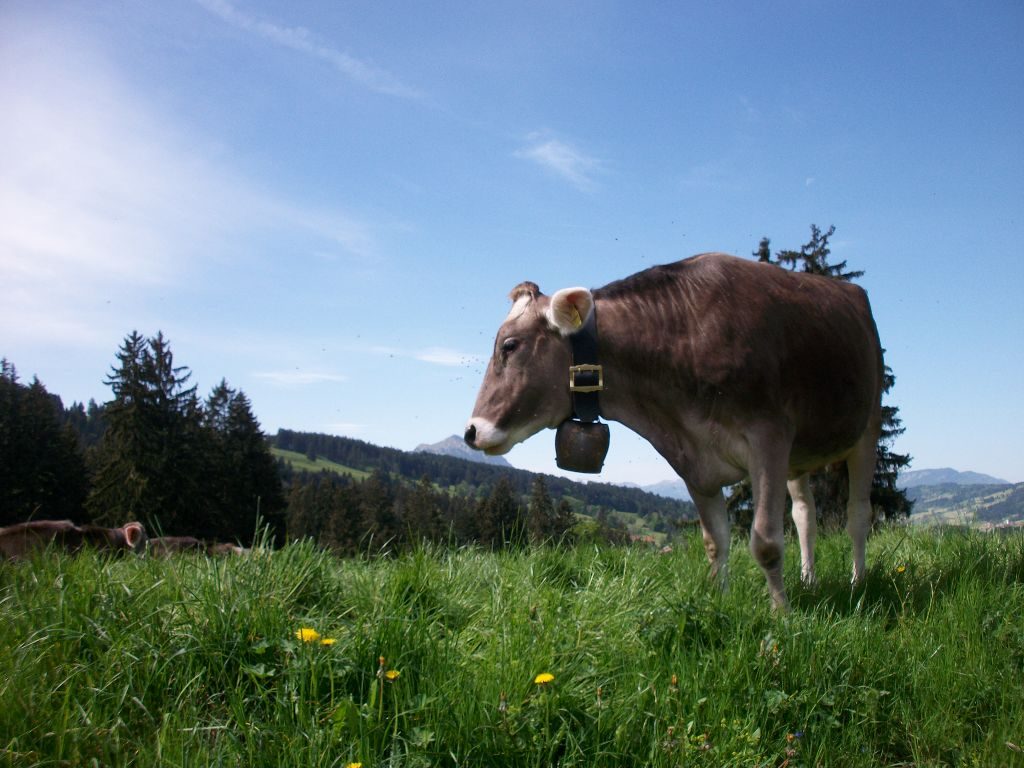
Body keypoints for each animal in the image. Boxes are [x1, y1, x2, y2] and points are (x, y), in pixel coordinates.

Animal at [468, 256, 884, 610]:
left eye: (509, 346)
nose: (472, 431)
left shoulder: (770, 439)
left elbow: (766, 542)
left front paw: (780, 615)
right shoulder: (694, 459)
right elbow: (715, 541)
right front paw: (720, 602)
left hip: (868, 427)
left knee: (858, 514)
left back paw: (858, 584)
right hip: (799, 458)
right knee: (805, 515)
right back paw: (809, 579)